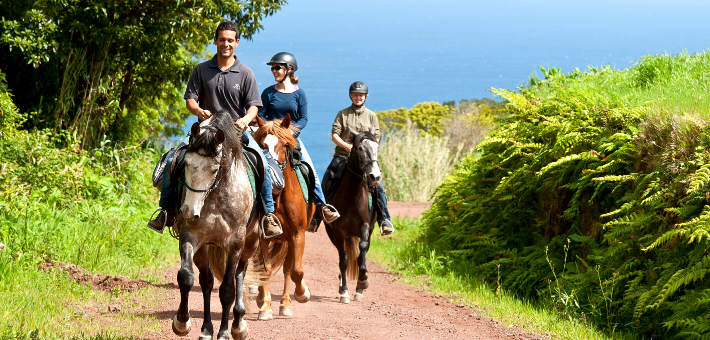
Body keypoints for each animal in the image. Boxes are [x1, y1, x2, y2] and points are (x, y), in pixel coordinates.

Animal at [172, 111, 262, 340]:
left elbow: (228, 290)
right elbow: (186, 277)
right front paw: (182, 322)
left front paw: (224, 333)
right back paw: (206, 329)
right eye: (186, 163)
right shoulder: (190, 235)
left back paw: (238, 324)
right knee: (206, 281)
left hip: (250, 243)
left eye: (214, 169)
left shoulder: (235, 244)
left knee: (239, 273)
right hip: (203, 247)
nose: (188, 211)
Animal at [252, 115, 316, 320]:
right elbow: (265, 270)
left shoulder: (298, 235)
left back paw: (286, 303)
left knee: (289, 268)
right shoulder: (264, 236)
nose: (271, 172)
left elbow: (295, 271)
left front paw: (302, 294)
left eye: (283, 145)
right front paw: (265, 306)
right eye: (261, 144)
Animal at [326, 126, 384, 304]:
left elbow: (362, 253)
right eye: (359, 148)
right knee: (342, 257)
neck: (352, 196)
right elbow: (344, 260)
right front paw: (344, 291)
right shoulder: (337, 232)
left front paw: (362, 283)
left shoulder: (364, 226)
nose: (375, 176)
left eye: (377, 146)